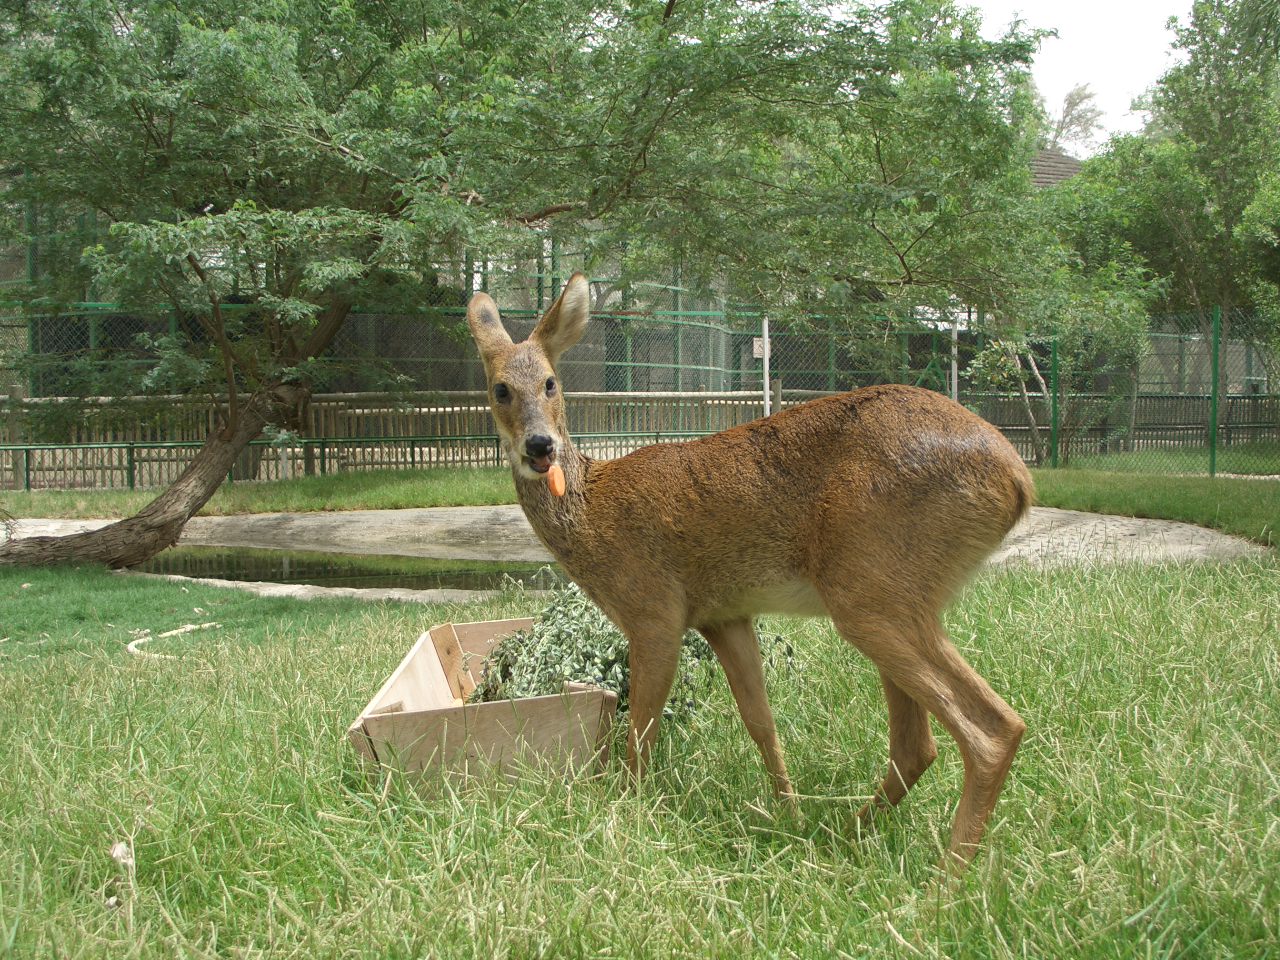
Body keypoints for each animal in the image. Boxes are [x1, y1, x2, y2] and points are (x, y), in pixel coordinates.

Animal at [467, 273, 1034, 869]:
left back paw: (947, 877)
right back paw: (840, 834)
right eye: (500, 389)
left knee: (991, 729)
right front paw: (788, 813)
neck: (594, 510)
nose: (539, 446)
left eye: (551, 382)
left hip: (871, 589)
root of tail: (1017, 479)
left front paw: (626, 811)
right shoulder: (725, 614)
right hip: (892, 594)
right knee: (918, 745)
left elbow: (642, 723)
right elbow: (760, 719)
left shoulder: (654, 608)